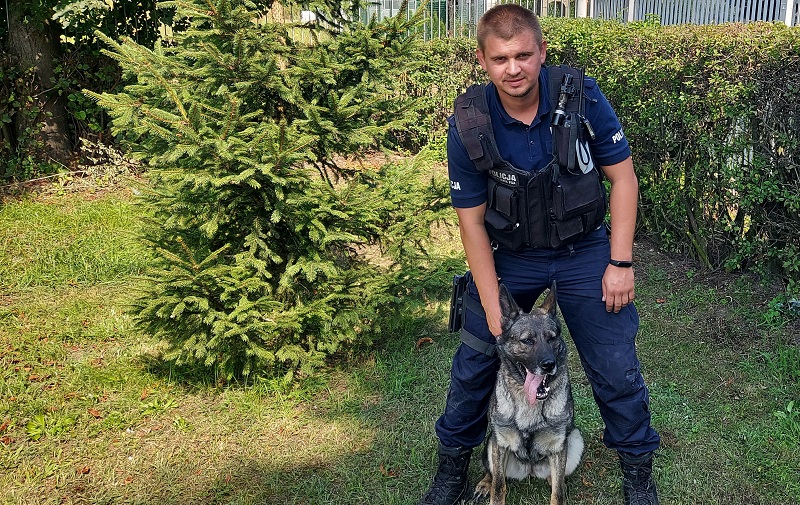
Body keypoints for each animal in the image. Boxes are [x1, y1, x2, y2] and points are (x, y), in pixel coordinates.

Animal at [473, 282, 584, 505]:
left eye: (552, 339)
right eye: (527, 341)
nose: (549, 364)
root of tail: (530, 470)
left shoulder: (558, 447)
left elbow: (557, 494)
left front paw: (559, 491)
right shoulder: (501, 443)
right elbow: (498, 487)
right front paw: (492, 489)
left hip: (574, 440)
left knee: (557, 480)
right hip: (491, 443)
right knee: (492, 473)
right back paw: (485, 483)